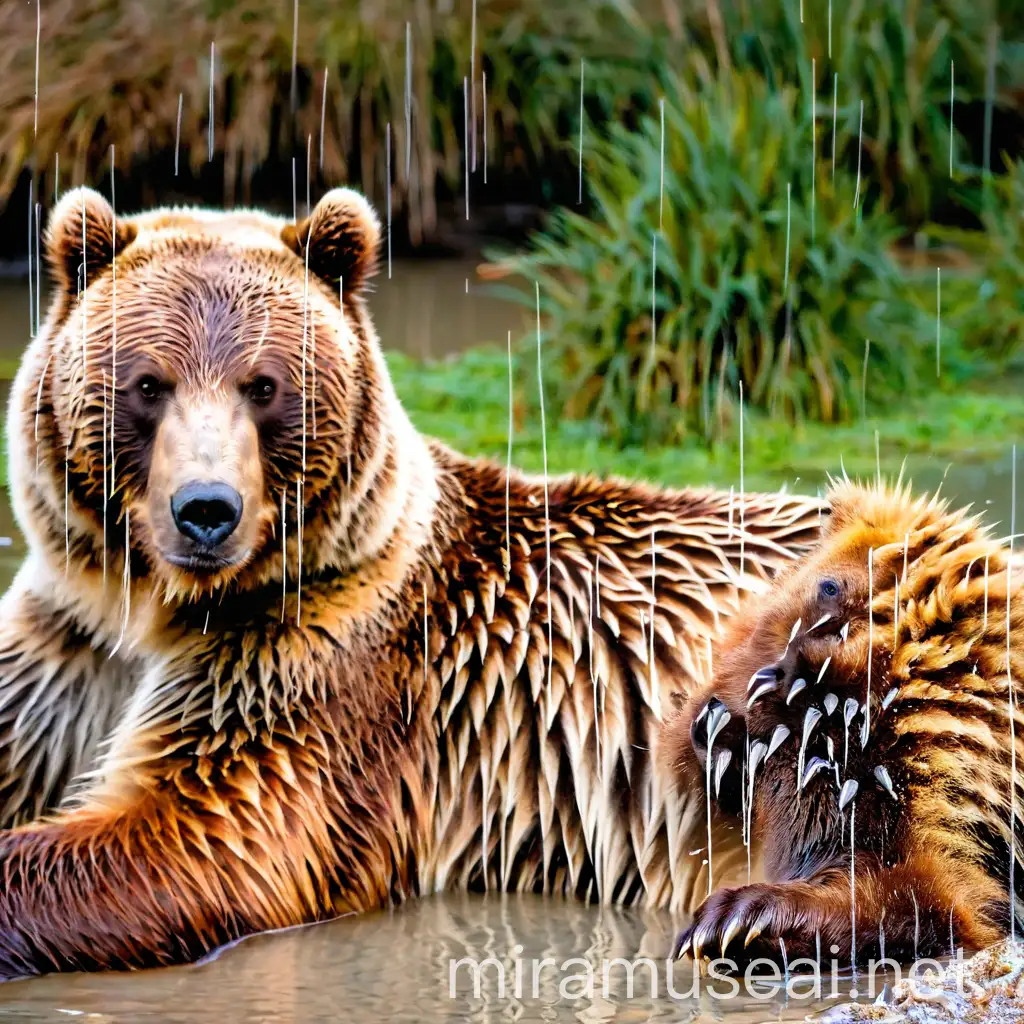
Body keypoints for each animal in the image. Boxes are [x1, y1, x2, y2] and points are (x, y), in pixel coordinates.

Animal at [0, 188, 823, 978]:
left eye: (263, 385)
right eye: (148, 383)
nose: (206, 510)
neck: (156, 608)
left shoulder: (324, 667)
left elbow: (212, 834)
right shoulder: (67, 646)